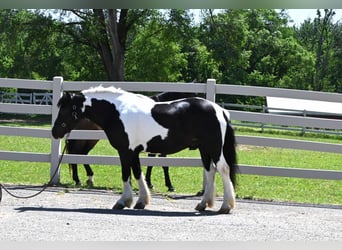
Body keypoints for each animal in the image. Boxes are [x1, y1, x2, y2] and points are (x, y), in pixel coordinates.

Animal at [52, 86, 238, 213]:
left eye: (66, 110)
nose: (55, 132)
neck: (117, 112)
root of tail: (220, 110)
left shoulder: (125, 151)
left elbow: (126, 174)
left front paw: (123, 202)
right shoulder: (134, 152)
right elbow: (137, 173)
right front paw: (141, 201)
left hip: (214, 148)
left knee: (223, 169)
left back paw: (226, 206)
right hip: (204, 149)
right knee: (210, 171)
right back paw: (203, 204)